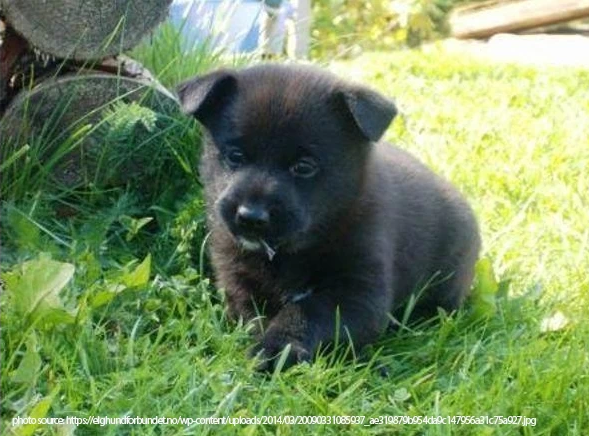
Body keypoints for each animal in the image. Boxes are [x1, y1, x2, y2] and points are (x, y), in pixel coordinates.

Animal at [177, 64, 480, 370]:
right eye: (235, 156)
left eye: (304, 167)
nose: (250, 217)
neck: (287, 254)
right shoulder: (238, 278)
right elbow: (252, 316)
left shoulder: (358, 290)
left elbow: (306, 311)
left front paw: (276, 349)